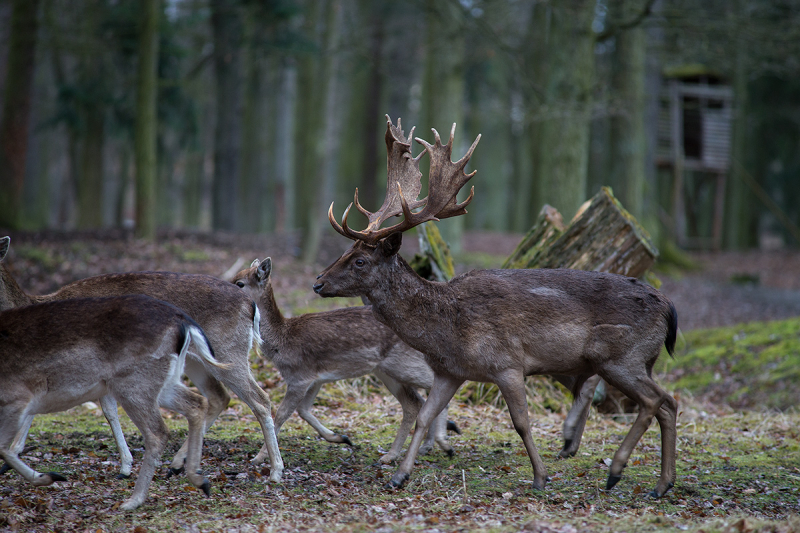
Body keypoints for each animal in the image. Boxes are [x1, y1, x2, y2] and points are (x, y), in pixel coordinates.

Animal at [0, 235, 284, 480]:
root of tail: (250, 306)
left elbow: (96, 409)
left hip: (229, 352)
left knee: (259, 399)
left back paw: (275, 470)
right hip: (197, 360)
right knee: (218, 397)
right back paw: (177, 464)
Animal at [0, 294, 219, 510]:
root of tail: (185, 323)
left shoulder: (18, 397)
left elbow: (3, 447)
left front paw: (49, 477)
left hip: (134, 384)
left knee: (158, 432)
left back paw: (133, 500)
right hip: (163, 382)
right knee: (197, 403)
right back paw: (199, 479)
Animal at [231, 256, 456, 462]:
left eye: (240, 283)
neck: (281, 342)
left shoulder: (299, 376)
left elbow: (281, 414)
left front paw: (259, 457)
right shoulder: (316, 378)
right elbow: (303, 410)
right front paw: (341, 437)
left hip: (404, 364)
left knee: (438, 388)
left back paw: (443, 444)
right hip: (387, 372)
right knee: (413, 403)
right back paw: (394, 455)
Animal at [310, 117, 676, 498]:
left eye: (361, 261)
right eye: (345, 252)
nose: (317, 282)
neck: (448, 329)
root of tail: (668, 308)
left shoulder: (507, 363)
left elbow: (522, 423)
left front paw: (540, 477)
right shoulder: (450, 371)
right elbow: (424, 416)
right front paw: (399, 475)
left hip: (622, 356)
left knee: (656, 401)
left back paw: (616, 471)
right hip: (638, 361)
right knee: (668, 404)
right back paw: (662, 484)